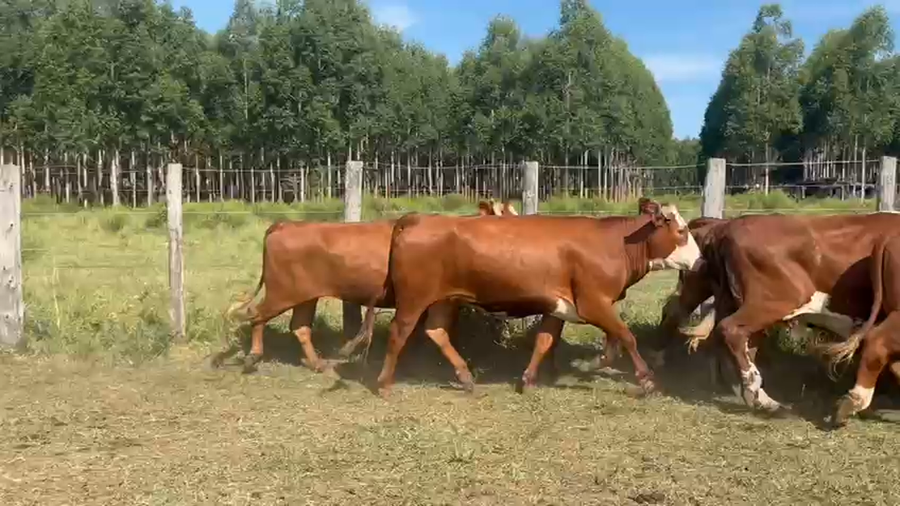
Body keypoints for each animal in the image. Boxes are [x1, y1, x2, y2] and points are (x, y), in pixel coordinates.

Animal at [214, 199, 519, 374]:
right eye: (504, 215)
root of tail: (284, 224)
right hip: (282, 290)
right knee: (257, 314)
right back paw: (253, 357)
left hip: (305, 295)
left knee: (299, 326)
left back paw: (317, 363)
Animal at [343, 198, 704, 398]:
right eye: (681, 231)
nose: (701, 261)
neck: (615, 243)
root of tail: (416, 218)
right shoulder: (593, 302)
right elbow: (626, 338)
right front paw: (647, 381)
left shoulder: (559, 308)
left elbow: (547, 341)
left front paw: (530, 379)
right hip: (414, 299)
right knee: (398, 334)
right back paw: (385, 383)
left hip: (444, 300)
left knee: (436, 332)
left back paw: (466, 378)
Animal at [656, 212, 900, 421]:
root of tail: (724, 226)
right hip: (772, 301)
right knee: (729, 330)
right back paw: (762, 398)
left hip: (722, 296)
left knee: (686, 318)